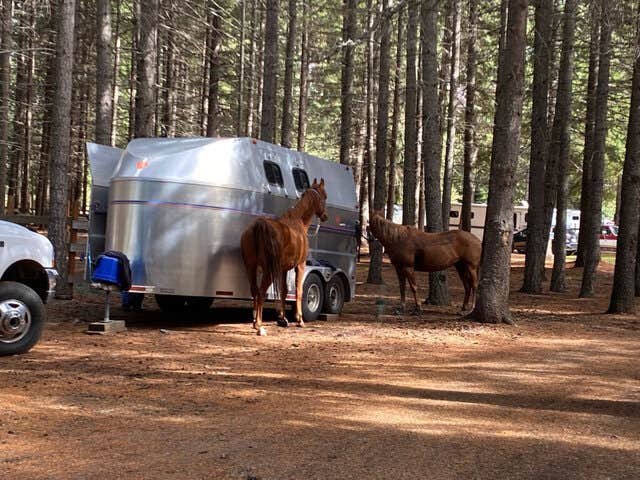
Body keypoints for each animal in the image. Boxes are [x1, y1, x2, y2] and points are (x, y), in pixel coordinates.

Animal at [240, 178, 328, 332]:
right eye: (325, 196)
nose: (325, 216)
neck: (298, 222)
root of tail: (259, 225)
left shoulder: (283, 269)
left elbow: (284, 291)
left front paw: (282, 319)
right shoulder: (300, 266)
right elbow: (299, 291)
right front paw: (299, 320)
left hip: (250, 266)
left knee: (254, 290)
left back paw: (254, 321)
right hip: (268, 271)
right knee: (261, 292)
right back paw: (259, 326)